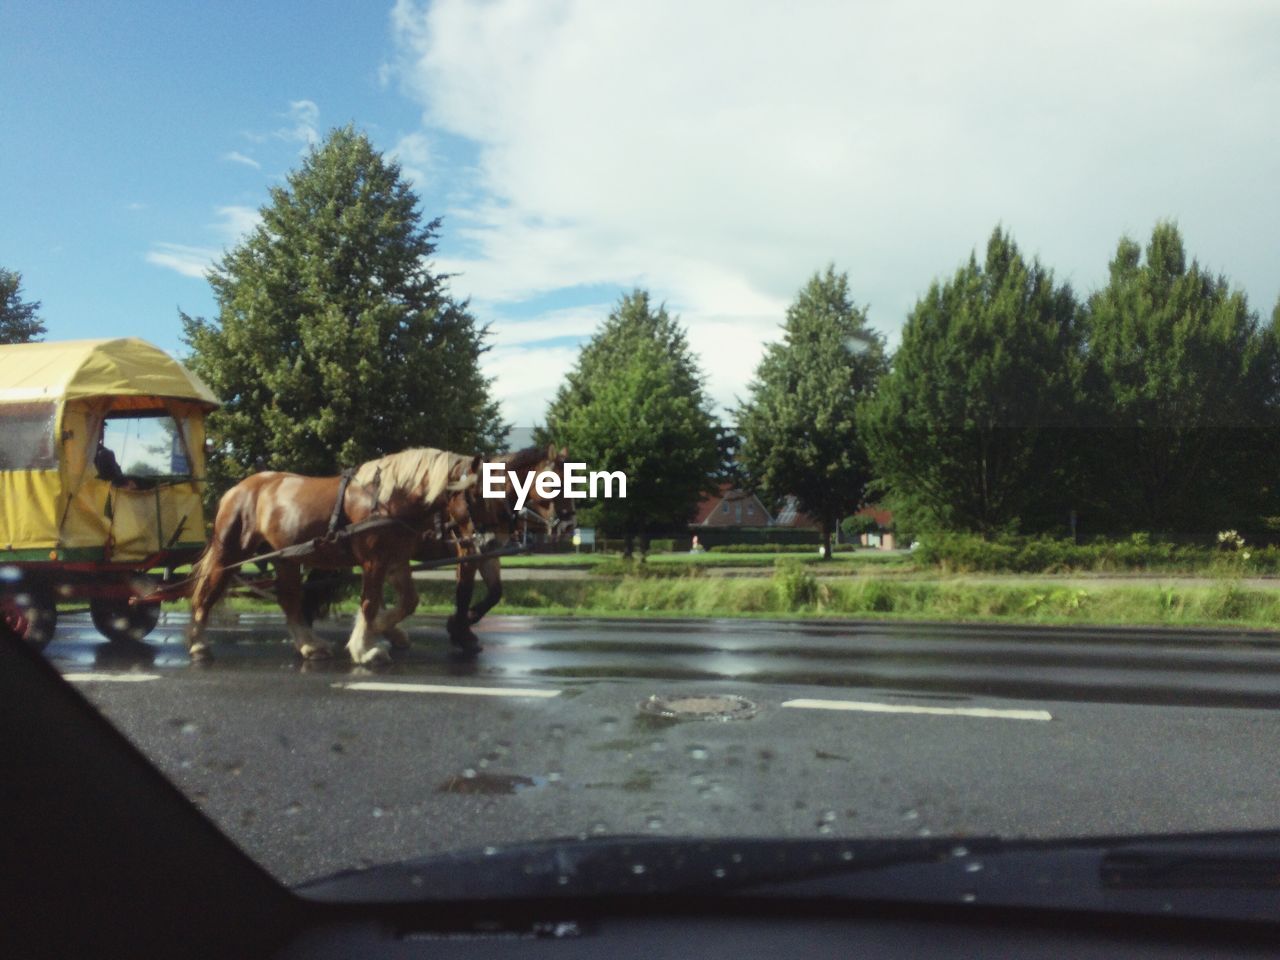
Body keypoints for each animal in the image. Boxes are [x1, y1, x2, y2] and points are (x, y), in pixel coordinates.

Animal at [183, 450, 478, 660]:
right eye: (475, 495)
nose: (476, 541)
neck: (389, 498)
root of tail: (235, 490)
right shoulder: (374, 560)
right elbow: (369, 602)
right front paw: (364, 649)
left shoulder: (395, 560)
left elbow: (408, 601)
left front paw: (382, 628)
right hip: (230, 553)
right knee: (207, 592)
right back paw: (198, 642)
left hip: (285, 558)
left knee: (289, 600)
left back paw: (309, 645)